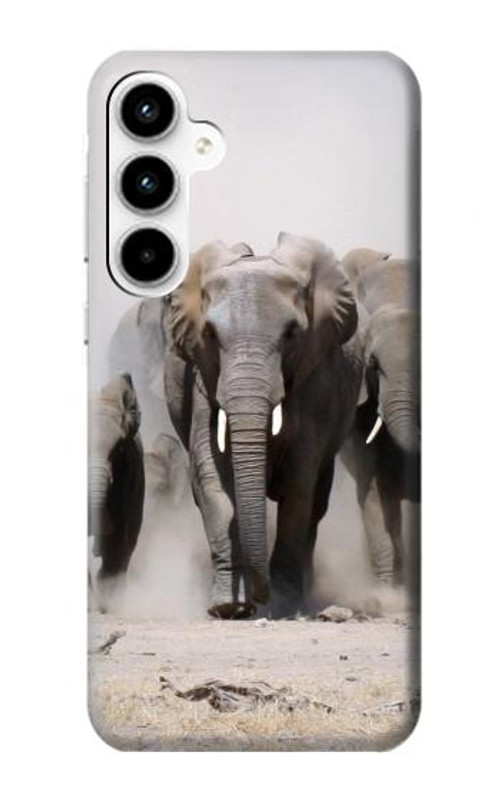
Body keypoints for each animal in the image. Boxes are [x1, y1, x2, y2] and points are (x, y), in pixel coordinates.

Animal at [162, 233, 364, 618]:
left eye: (292, 334)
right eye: (211, 335)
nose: (259, 601)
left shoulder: (317, 378)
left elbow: (299, 484)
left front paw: (284, 606)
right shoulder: (202, 377)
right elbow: (213, 477)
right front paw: (227, 607)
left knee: (316, 503)